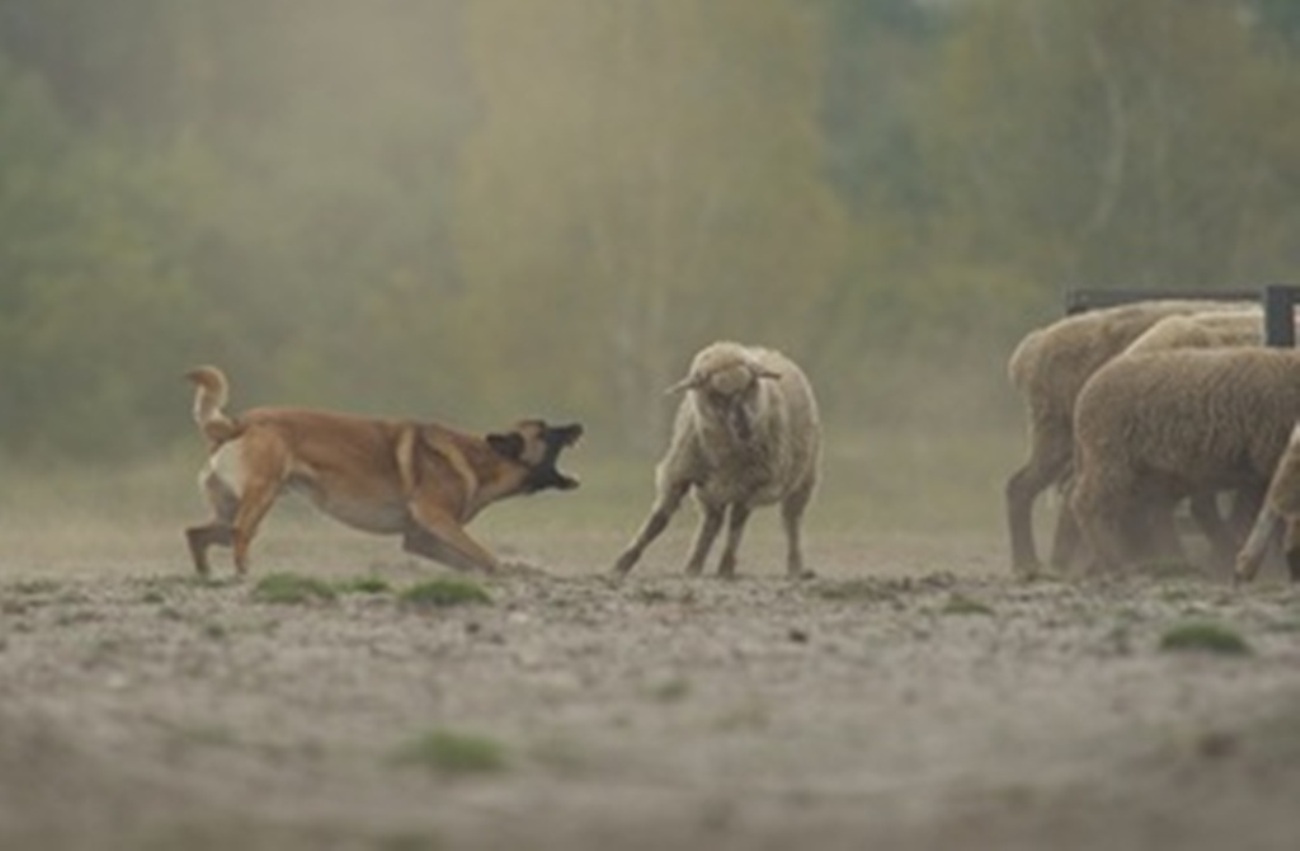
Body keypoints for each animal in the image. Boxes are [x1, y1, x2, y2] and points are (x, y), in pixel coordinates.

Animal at [185, 363, 582, 576]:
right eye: (545, 430)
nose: (580, 425)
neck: (482, 459)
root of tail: (238, 423)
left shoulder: (423, 538)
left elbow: (474, 560)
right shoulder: (436, 519)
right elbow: (485, 555)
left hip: (231, 508)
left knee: (197, 534)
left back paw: (207, 576)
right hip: (262, 495)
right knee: (239, 536)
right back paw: (244, 575)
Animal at [611, 342, 816, 582]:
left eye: (749, 386)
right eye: (717, 394)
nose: (744, 426)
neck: (725, 450)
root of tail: (770, 351)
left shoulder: (750, 485)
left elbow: (736, 526)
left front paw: (725, 569)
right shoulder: (679, 473)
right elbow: (658, 520)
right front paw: (620, 566)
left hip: (804, 480)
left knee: (791, 522)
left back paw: (796, 568)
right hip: (710, 490)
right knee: (711, 523)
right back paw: (692, 568)